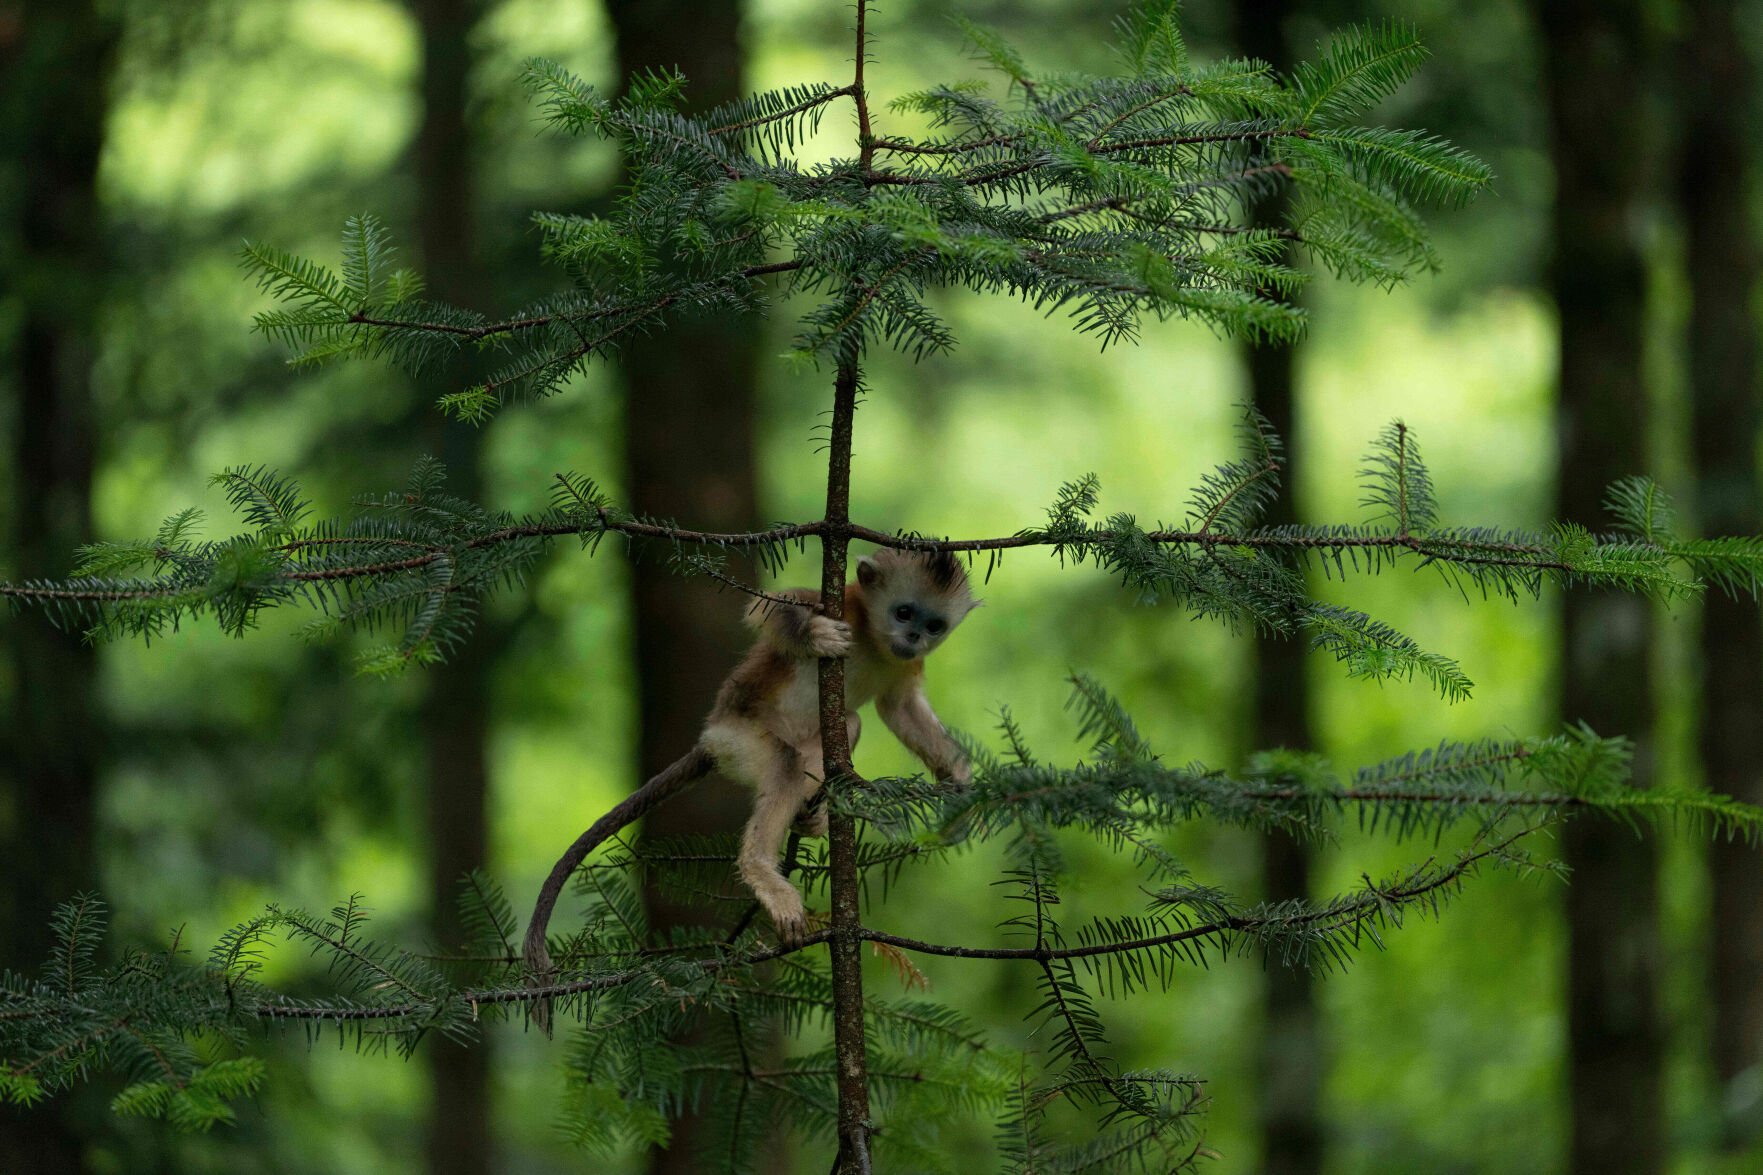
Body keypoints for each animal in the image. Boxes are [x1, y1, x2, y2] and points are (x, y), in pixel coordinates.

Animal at [523, 547, 977, 1028]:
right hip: (740, 740)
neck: (874, 642)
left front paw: (961, 787)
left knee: (847, 725)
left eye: (934, 625)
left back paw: (809, 816)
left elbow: (901, 709)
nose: (913, 636)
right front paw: (813, 634)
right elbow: (766, 607)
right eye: (904, 612)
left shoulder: (906, 666)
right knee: (785, 764)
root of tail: (709, 741)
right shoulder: (845, 606)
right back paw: (762, 869)